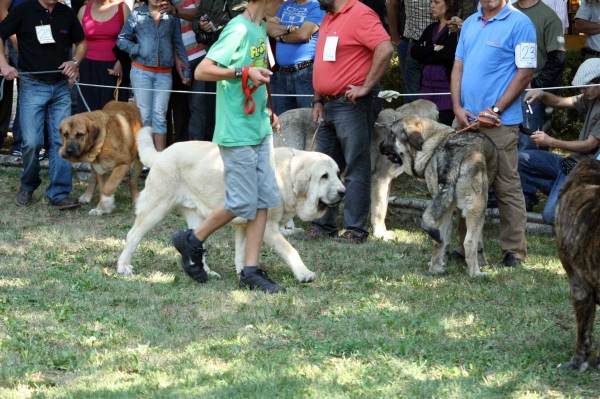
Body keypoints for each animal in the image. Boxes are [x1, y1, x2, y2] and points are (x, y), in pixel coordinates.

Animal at [116, 127, 344, 282]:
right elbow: (289, 249)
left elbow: (241, 253)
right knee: (133, 235)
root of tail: (163, 153)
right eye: (324, 176)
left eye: (337, 174)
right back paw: (123, 267)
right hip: (156, 209)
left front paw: (245, 275)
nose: (343, 192)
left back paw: (205, 271)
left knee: (195, 239)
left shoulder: (245, 226)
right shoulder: (268, 227)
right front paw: (304, 273)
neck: (286, 175)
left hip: (197, 216)